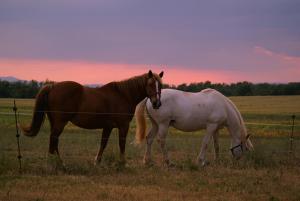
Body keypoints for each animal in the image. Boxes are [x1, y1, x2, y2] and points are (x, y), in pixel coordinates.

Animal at [20, 70, 164, 165]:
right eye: (150, 84)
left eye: (160, 85)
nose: (157, 103)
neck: (123, 95)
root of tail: (52, 86)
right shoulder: (123, 126)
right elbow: (121, 143)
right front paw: (122, 162)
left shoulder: (108, 127)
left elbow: (103, 143)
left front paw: (97, 161)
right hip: (60, 122)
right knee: (53, 139)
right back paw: (54, 163)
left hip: (54, 122)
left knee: (54, 140)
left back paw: (59, 161)